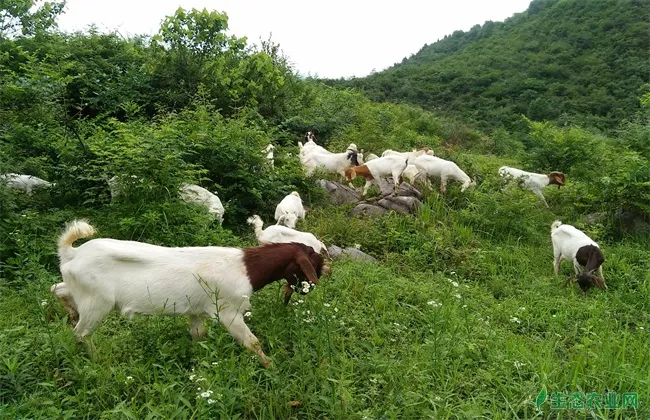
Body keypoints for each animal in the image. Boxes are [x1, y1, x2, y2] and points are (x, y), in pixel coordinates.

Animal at [49, 220, 330, 364]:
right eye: (311, 263)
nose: (308, 290)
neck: (246, 267)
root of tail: (72, 253)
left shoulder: (196, 312)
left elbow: (198, 335)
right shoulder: (228, 312)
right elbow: (252, 342)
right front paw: (270, 366)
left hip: (80, 289)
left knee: (58, 288)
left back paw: (70, 312)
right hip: (98, 302)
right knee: (81, 333)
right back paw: (98, 359)